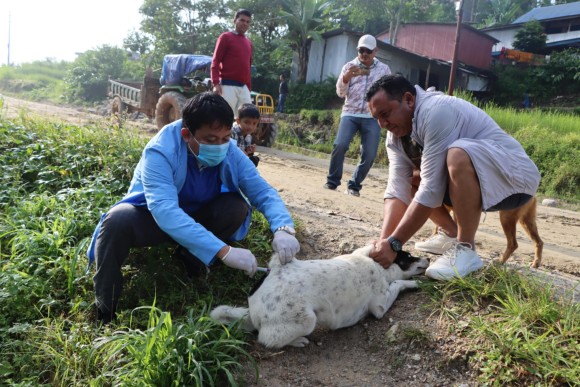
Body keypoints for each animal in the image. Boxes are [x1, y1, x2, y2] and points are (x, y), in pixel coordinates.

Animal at [211, 247, 428, 350]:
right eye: (409, 256)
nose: (428, 258)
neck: (377, 265)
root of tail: (252, 311)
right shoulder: (380, 307)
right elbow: (398, 283)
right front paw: (414, 284)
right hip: (307, 319)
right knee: (267, 339)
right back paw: (297, 341)